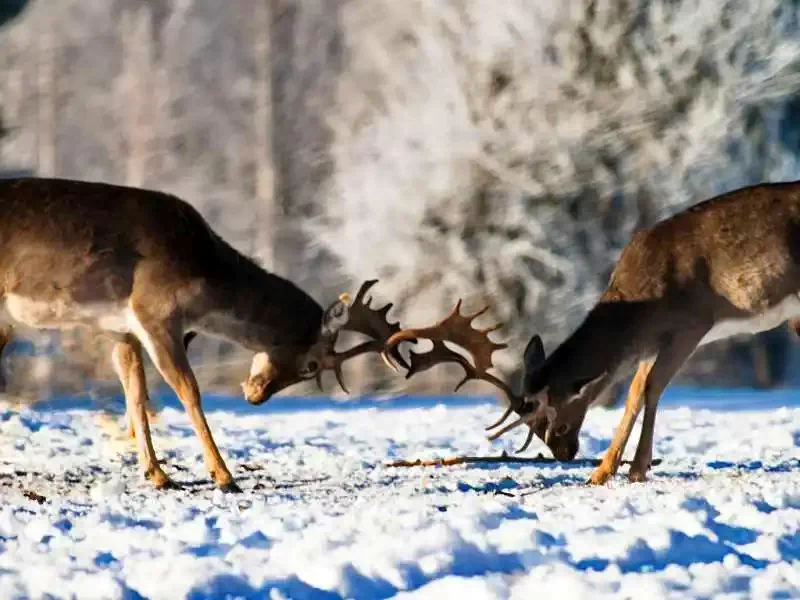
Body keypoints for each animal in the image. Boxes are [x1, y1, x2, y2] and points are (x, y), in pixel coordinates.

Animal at [0, 177, 406, 492]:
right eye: (311, 365)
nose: (256, 397)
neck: (205, 280)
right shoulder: (154, 310)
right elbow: (188, 390)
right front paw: (224, 476)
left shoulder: (120, 329)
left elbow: (136, 393)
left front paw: (157, 474)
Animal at [380, 182, 800, 482]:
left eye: (552, 416)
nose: (563, 453)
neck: (646, 308)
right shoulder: (654, 342)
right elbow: (634, 391)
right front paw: (605, 470)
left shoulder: (693, 323)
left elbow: (651, 388)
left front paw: (634, 469)